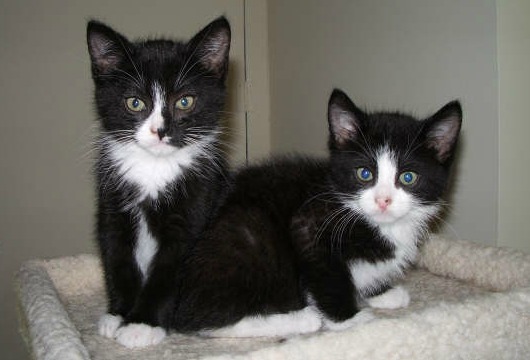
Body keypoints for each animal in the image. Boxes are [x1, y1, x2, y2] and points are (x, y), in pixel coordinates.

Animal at [87, 17, 231, 348]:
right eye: (135, 102)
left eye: (185, 101)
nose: (160, 131)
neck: (153, 168)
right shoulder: (111, 206)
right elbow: (116, 256)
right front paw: (118, 314)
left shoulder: (197, 202)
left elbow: (169, 267)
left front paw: (142, 324)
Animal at [172, 88, 458, 336]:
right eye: (364, 174)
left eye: (408, 177)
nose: (383, 200)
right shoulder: (309, 223)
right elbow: (328, 275)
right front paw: (349, 319)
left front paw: (383, 292)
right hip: (247, 232)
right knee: (200, 318)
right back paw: (300, 319)